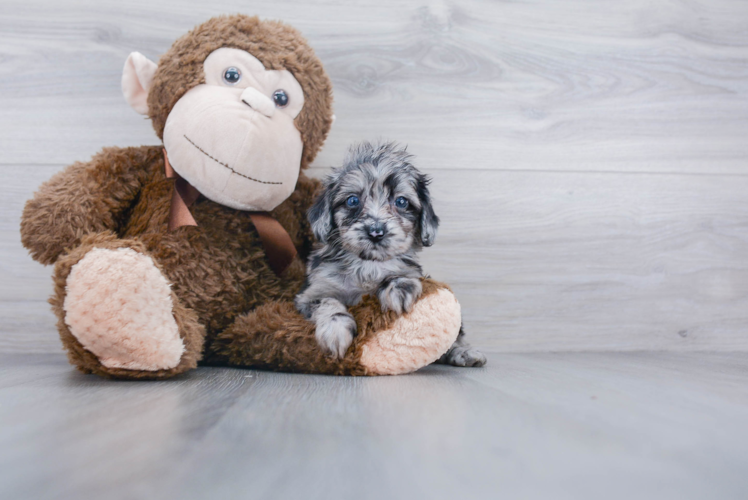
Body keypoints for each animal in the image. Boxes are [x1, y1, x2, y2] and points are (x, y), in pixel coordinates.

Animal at [296, 141, 488, 368]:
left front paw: (399, 288)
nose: (376, 232)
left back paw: (464, 352)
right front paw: (335, 331)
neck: (367, 265)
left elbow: (400, 275)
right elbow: (329, 303)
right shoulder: (311, 294)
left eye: (402, 202)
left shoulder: (413, 272)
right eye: (352, 201)